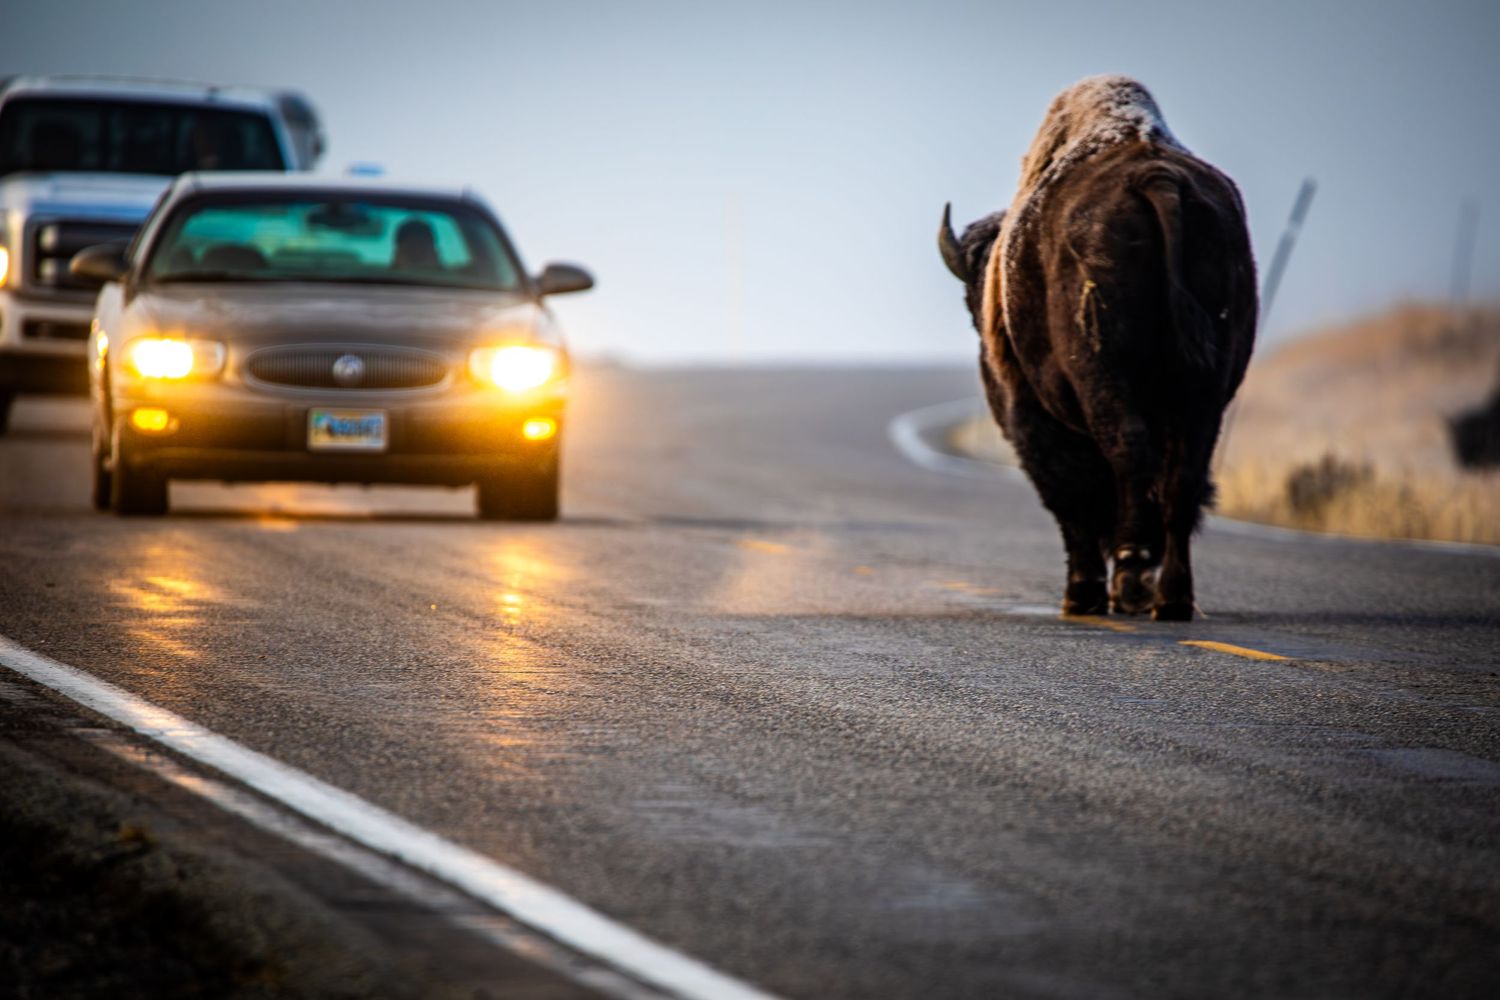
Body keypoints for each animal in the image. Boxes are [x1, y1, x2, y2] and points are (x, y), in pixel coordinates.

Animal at [939, 75, 1257, 620]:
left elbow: (1069, 495)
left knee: (1125, 456)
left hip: (1102, 376)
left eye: (972, 303)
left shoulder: (1034, 415)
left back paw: (1128, 578)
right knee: (1183, 478)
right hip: (1207, 390)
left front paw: (1082, 592)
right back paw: (1171, 597)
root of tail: (1156, 176)